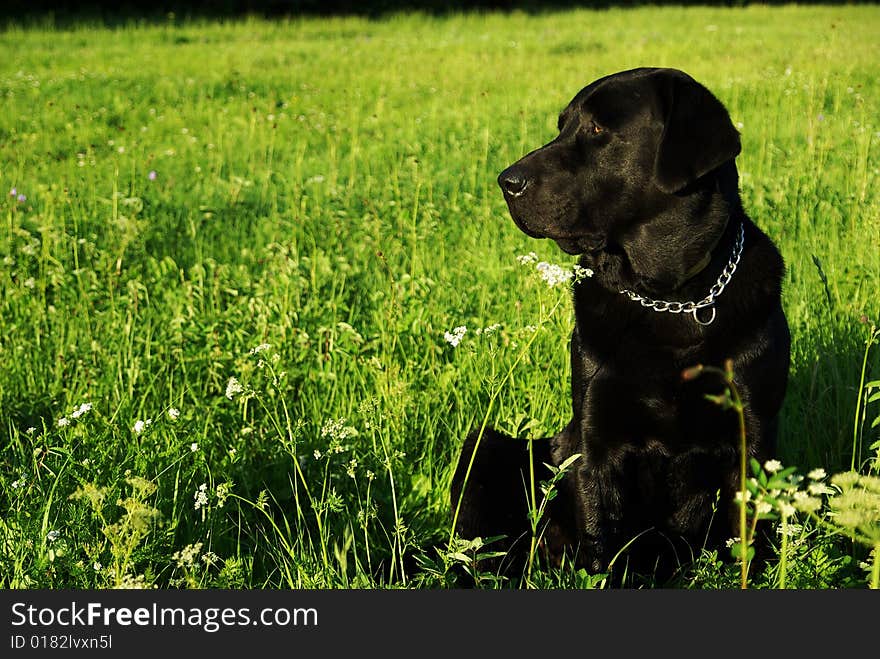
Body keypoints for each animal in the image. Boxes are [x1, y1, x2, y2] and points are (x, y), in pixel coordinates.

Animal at [454, 67, 792, 580]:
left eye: (597, 128)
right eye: (562, 126)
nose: (505, 181)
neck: (671, 299)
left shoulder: (751, 433)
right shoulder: (597, 443)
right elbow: (604, 548)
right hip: (486, 448)